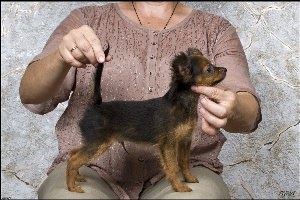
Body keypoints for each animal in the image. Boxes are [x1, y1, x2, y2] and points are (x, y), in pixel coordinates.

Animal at [67, 47, 226, 193]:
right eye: (209, 69)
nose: (225, 69)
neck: (183, 104)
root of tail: (96, 105)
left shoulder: (185, 140)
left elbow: (184, 163)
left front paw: (189, 179)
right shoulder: (168, 145)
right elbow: (173, 167)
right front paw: (179, 187)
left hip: (93, 143)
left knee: (73, 153)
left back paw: (77, 177)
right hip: (98, 143)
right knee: (74, 160)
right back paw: (72, 187)